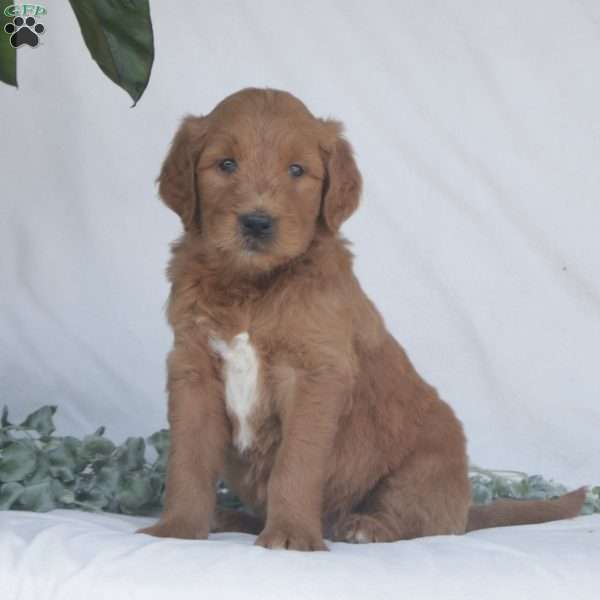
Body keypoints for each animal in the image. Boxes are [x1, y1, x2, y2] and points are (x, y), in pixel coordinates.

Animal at [141, 86, 584, 552]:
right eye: (226, 164)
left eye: (297, 170)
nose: (257, 222)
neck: (252, 286)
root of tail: (466, 509)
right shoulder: (193, 369)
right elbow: (188, 459)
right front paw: (177, 528)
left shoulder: (315, 375)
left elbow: (295, 463)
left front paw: (290, 534)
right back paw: (230, 517)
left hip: (426, 465)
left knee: (419, 520)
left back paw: (365, 526)